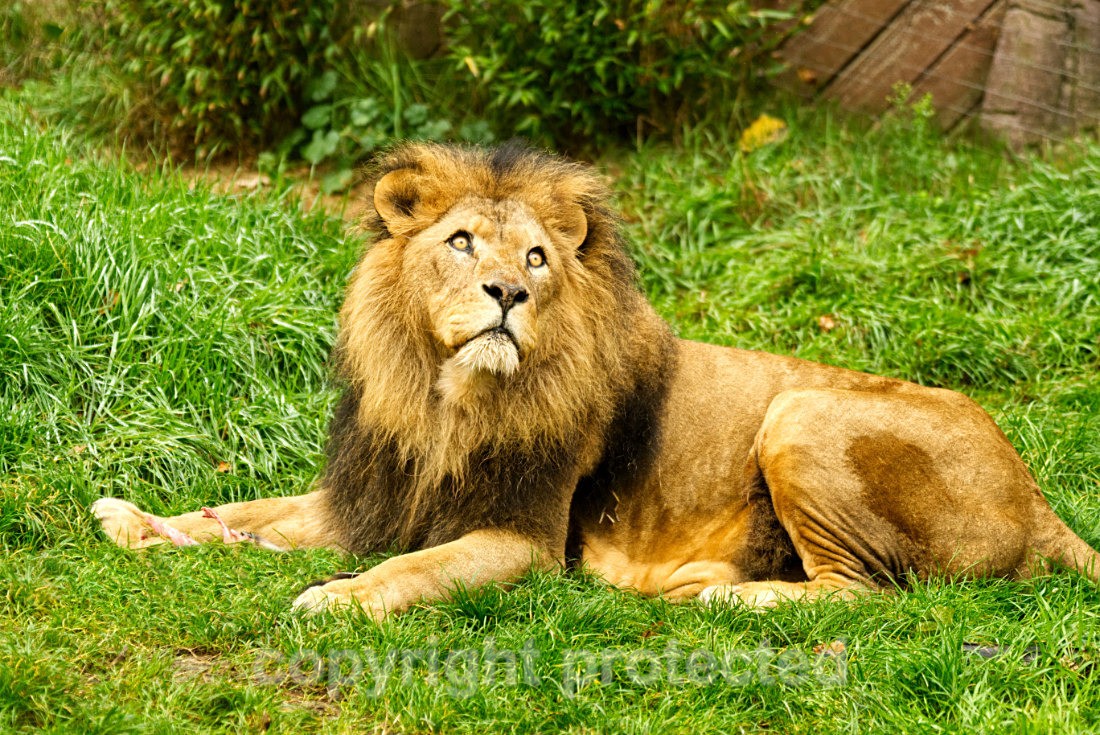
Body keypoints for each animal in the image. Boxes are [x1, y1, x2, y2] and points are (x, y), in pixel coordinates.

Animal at [92, 141, 1100, 617]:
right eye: (463, 242)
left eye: (537, 258)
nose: (507, 292)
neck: (442, 398)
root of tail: (1038, 493)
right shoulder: (371, 497)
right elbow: (242, 512)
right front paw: (137, 522)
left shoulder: (524, 535)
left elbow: (416, 566)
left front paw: (339, 596)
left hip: (800, 409)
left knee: (869, 593)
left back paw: (733, 595)